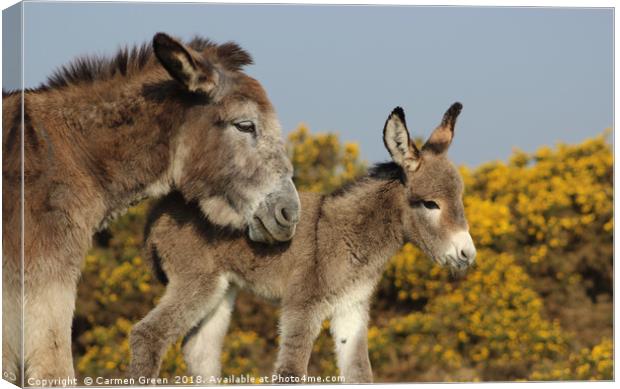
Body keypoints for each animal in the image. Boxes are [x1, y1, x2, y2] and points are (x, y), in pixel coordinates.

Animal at [132, 103, 474, 382]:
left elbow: (359, 372)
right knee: (147, 336)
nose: (467, 255)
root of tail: (162, 207)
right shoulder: (302, 306)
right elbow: (290, 371)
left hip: (222, 289)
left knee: (200, 351)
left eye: (459, 198)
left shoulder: (351, 307)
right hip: (196, 282)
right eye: (430, 204)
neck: (352, 235)